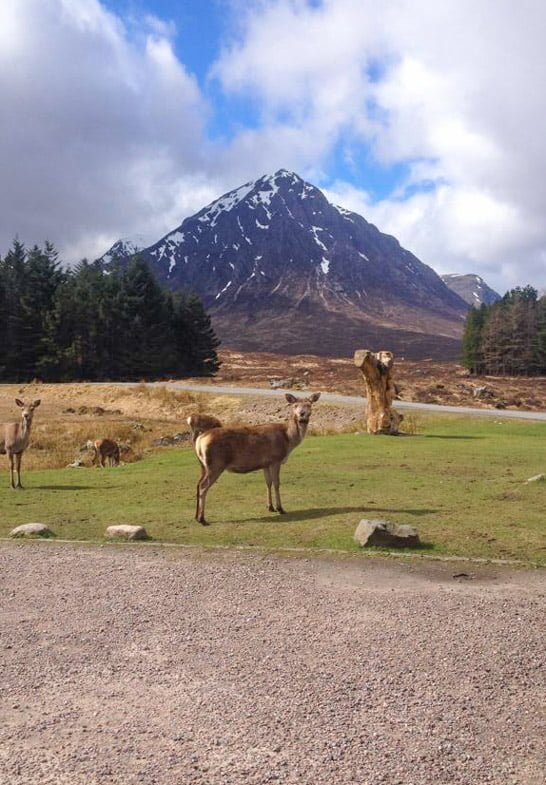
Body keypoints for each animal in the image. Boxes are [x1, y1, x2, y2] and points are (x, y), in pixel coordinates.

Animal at [192, 392, 318, 528]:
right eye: (295, 405)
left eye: (309, 404)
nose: (302, 415)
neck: (288, 440)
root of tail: (200, 440)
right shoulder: (275, 459)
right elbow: (277, 483)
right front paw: (280, 508)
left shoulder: (266, 463)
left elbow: (268, 483)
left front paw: (270, 507)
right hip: (215, 464)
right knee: (203, 486)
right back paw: (202, 519)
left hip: (203, 466)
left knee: (198, 484)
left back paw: (196, 517)